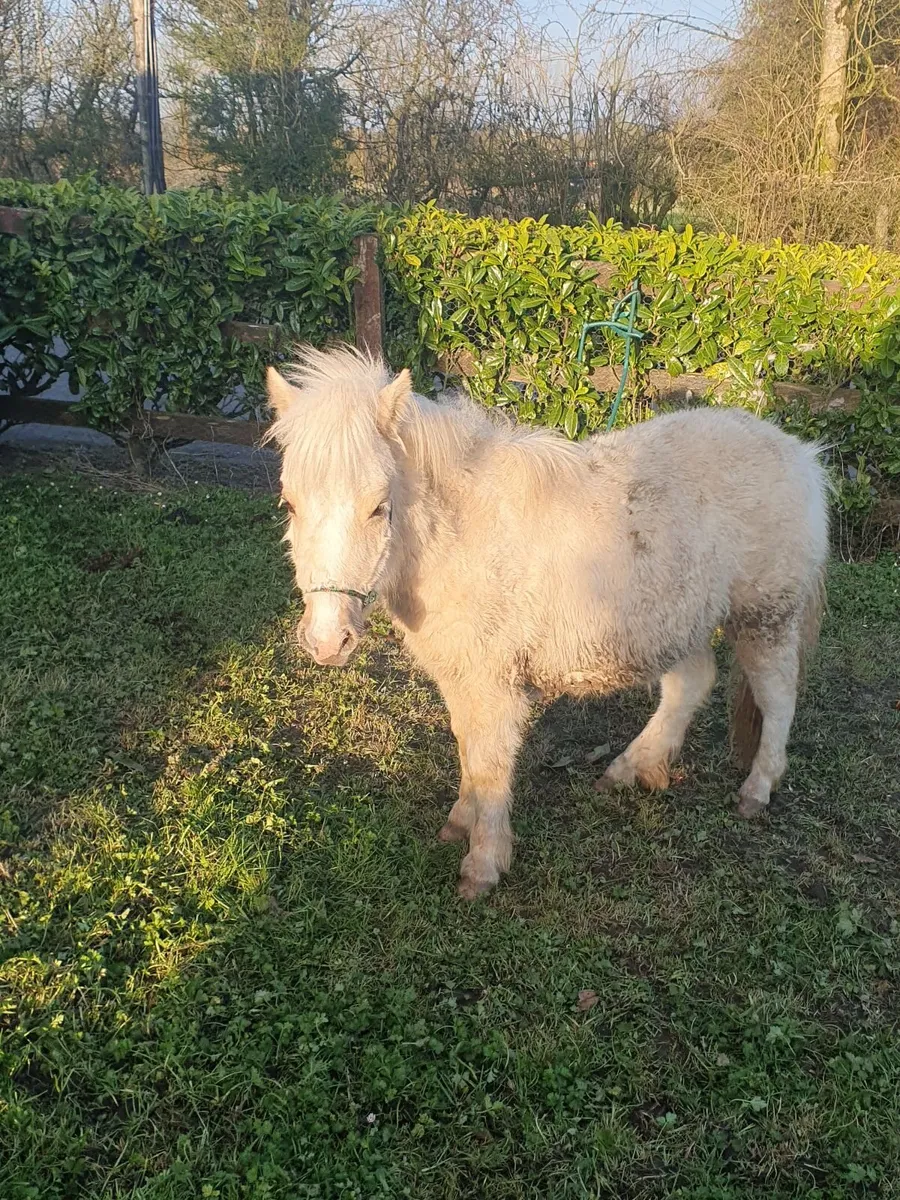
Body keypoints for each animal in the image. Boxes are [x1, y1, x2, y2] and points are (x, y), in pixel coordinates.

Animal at [265, 346, 829, 899]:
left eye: (379, 508)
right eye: (289, 504)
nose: (328, 641)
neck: (458, 534)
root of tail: (801, 458)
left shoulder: (494, 681)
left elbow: (490, 762)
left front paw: (483, 865)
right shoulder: (461, 675)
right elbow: (467, 747)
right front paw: (460, 823)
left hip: (766, 616)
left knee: (778, 697)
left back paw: (756, 790)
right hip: (675, 620)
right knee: (691, 683)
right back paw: (631, 769)